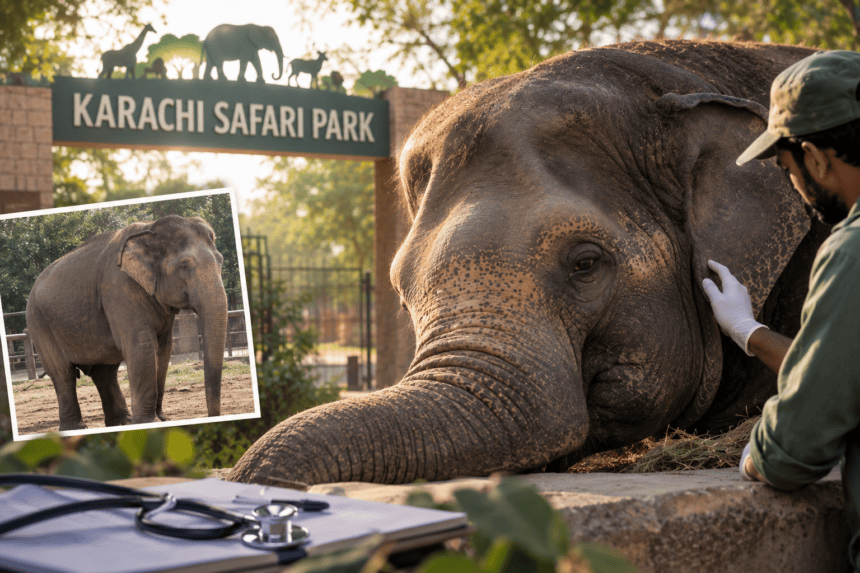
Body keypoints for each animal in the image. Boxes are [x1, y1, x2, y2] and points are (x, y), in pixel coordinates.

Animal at [26, 215, 228, 431]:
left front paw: (158, 419)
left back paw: (122, 422)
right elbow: (142, 345)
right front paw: (148, 422)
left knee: (104, 373)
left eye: (221, 261)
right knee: (63, 373)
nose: (212, 416)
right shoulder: (119, 288)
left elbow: (164, 349)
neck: (150, 230)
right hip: (38, 324)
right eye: (184, 266)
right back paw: (77, 428)